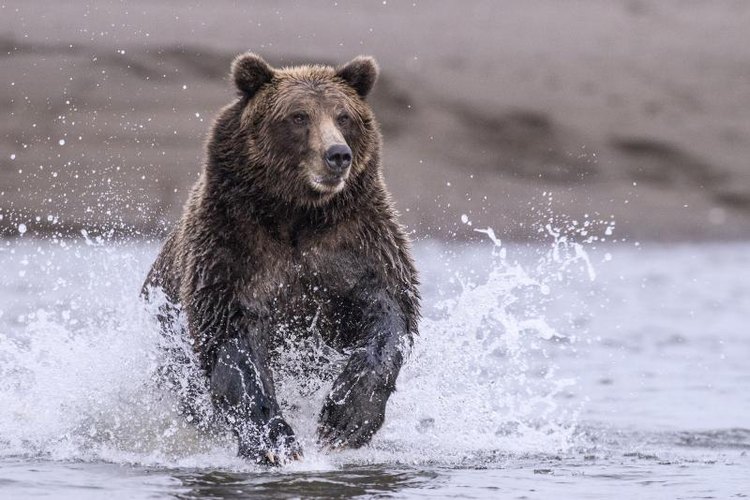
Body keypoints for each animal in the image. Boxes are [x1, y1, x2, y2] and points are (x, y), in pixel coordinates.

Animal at [140, 53, 420, 464]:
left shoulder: (357, 242)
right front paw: (276, 442)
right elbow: (235, 343)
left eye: (343, 116)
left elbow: (388, 311)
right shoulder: (232, 245)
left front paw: (345, 420)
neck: (297, 214)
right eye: (298, 116)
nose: (338, 155)